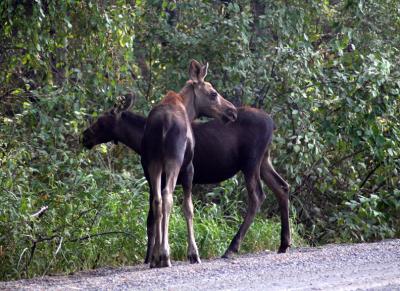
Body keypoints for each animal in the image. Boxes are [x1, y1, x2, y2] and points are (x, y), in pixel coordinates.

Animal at [82, 96, 290, 266]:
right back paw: (284, 243)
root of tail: (272, 123)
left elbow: (151, 218)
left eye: (101, 120)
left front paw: (150, 256)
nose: (84, 135)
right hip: (264, 160)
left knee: (257, 196)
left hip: (251, 161)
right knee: (282, 187)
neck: (137, 139)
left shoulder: (153, 177)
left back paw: (232, 248)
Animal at [141, 60, 236, 270]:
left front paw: (155, 257)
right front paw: (193, 253)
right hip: (174, 161)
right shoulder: (189, 167)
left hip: (152, 163)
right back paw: (166, 254)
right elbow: (188, 208)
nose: (232, 111)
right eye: (213, 93)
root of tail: (161, 125)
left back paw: (157, 256)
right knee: (167, 197)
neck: (189, 109)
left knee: (157, 200)